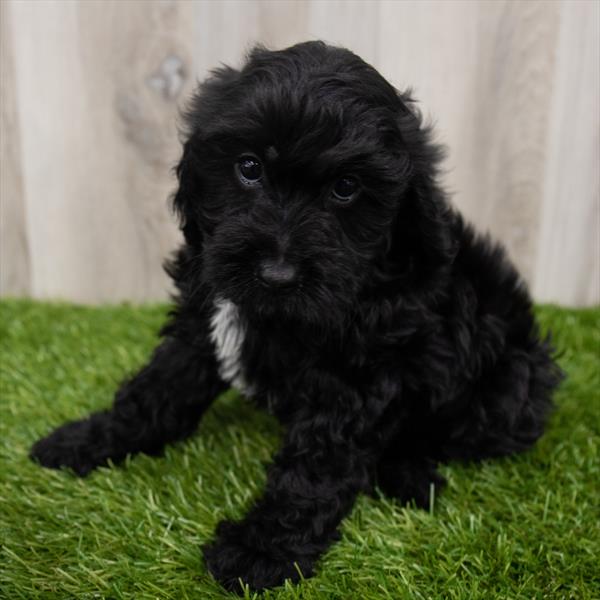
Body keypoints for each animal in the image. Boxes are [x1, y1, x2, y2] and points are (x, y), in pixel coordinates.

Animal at [29, 41, 564, 592]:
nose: (277, 273)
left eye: (346, 187)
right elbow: (155, 392)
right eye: (249, 167)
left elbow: (315, 467)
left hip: (513, 380)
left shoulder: (356, 377)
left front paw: (260, 551)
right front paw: (86, 440)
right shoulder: (202, 323)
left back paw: (408, 475)